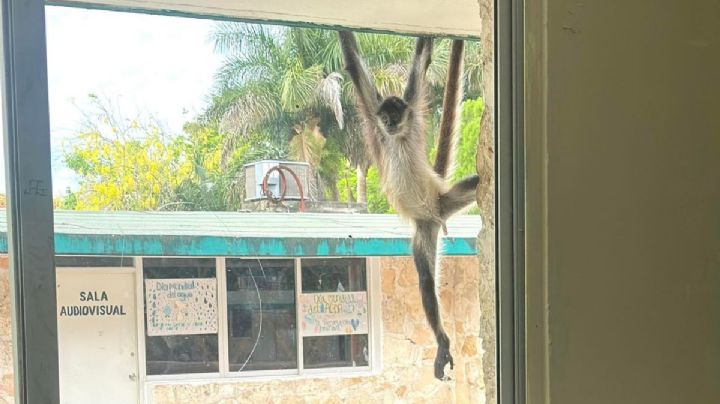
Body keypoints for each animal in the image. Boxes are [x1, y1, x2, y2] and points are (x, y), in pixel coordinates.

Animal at [338, 32, 479, 380]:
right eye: (384, 116)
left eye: (396, 115)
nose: (389, 123)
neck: (398, 137)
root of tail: (436, 212)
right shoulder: (374, 115)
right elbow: (352, 62)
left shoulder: (411, 104)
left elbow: (422, 58)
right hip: (424, 230)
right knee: (426, 281)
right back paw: (442, 341)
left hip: (446, 199)